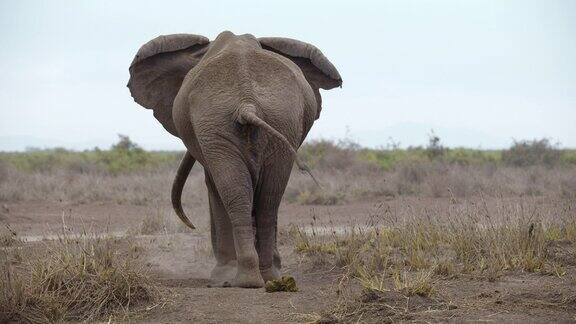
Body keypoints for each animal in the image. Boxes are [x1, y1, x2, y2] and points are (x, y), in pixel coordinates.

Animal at [127, 31, 342, 288]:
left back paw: (238, 278)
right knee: (267, 198)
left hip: (229, 121)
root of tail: (247, 102)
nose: (191, 224)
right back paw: (265, 277)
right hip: (277, 120)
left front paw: (221, 276)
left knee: (233, 192)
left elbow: (213, 185)